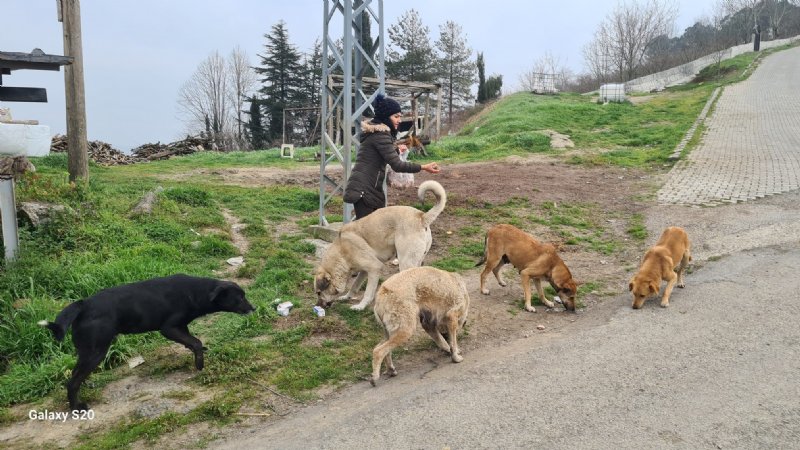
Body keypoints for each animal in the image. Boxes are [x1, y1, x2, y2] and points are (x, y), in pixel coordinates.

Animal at [39, 274, 255, 412]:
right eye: (240, 298)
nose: (253, 308)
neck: (196, 292)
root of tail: (83, 305)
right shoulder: (169, 328)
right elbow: (196, 341)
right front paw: (199, 363)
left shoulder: (181, 327)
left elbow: (193, 342)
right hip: (96, 351)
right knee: (72, 382)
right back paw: (76, 407)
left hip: (88, 352)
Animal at [314, 179, 450, 310]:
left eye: (319, 293)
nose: (317, 306)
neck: (342, 249)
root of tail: (421, 216)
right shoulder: (364, 271)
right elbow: (355, 285)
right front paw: (347, 297)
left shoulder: (374, 268)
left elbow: (368, 292)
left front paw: (360, 306)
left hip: (405, 262)